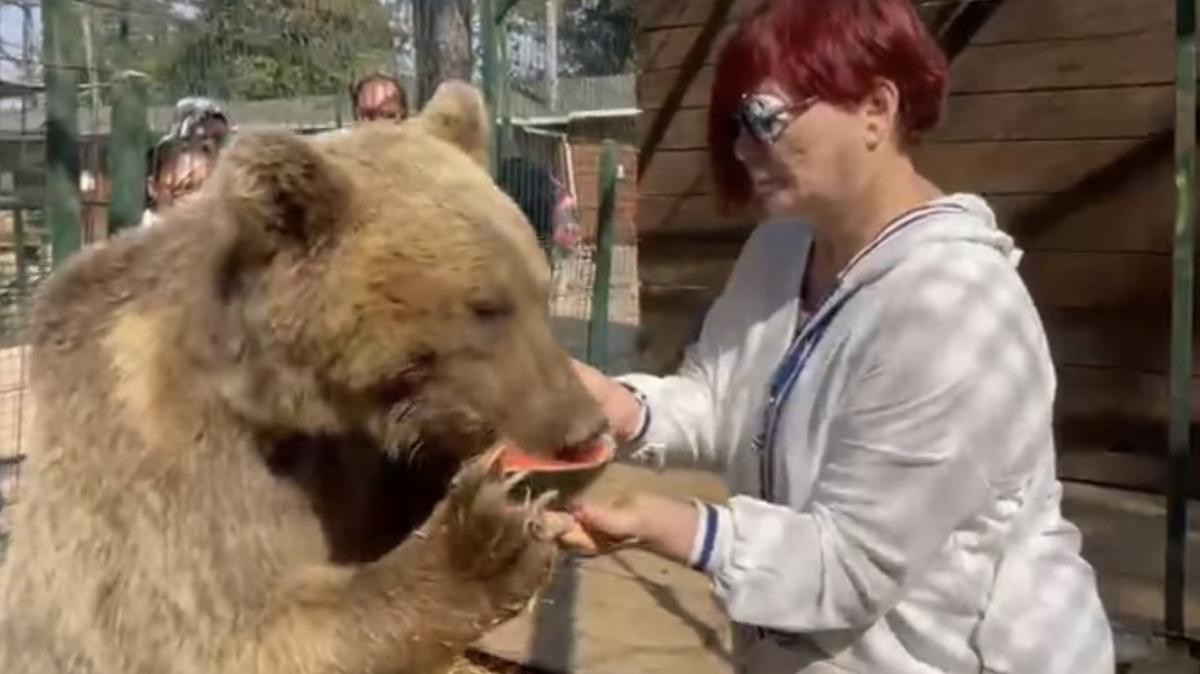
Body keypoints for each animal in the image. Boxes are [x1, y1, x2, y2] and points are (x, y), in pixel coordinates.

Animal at [0, 82, 604, 671]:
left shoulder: (341, 461)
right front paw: (485, 540)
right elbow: (228, 632)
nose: (584, 427)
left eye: (539, 292)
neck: (272, 400)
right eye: (486, 308)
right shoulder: (157, 452)